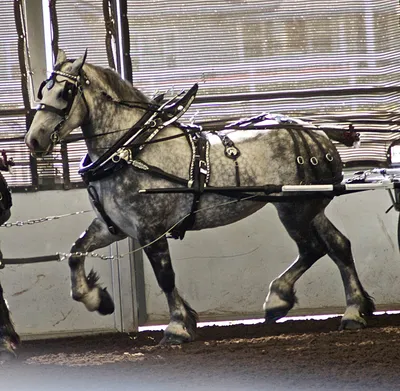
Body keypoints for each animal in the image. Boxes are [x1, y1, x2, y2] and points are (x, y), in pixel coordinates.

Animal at [25, 49, 376, 346]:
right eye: (42, 91)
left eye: (65, 93)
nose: (34, 140)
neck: (131, 149)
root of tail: (316, 131)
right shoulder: (114, 226)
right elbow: (76, 253)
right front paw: (97, 299)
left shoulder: (150, 229)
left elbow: (165, 277)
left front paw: (178, 326)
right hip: (310, 207)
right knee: (338, 246)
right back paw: (354, 311)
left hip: (293, 208)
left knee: (312, 249)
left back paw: (278, 299)